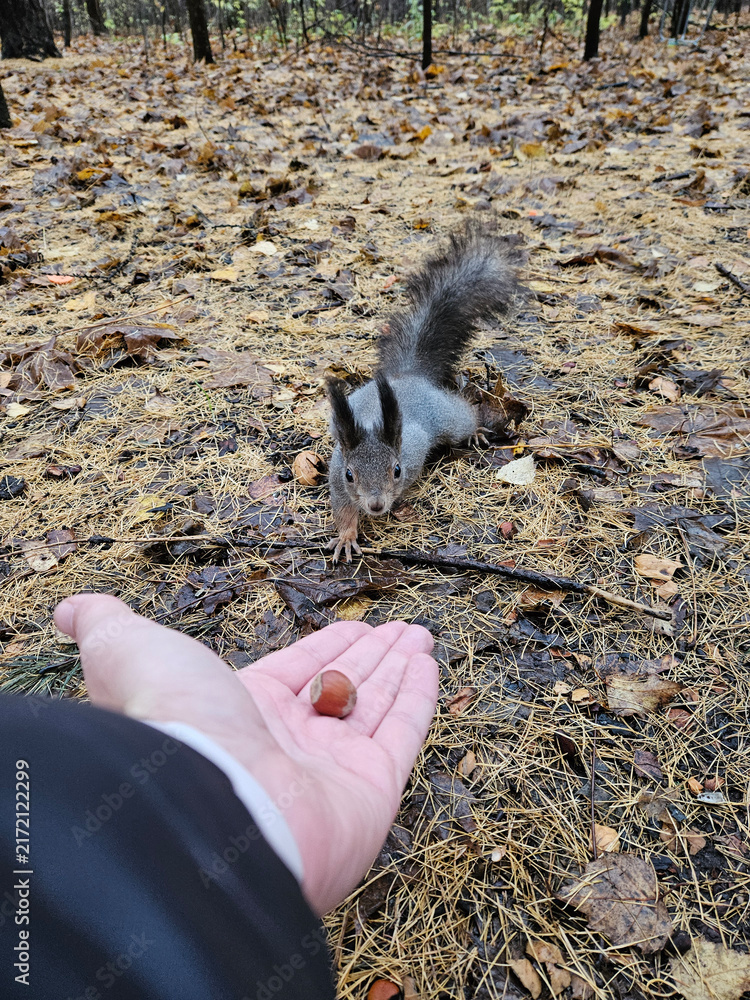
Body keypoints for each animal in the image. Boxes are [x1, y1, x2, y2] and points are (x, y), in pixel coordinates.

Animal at [326, 224, 523, 562]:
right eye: (350, 475)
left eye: (397, 470)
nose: (376, 506)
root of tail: (408, 377)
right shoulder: (337, 477)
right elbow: (343, 510)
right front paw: (347, 536)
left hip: (447, 417)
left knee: (463, 417)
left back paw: (474, 432)